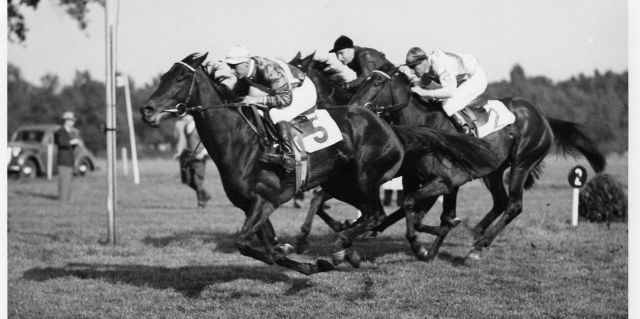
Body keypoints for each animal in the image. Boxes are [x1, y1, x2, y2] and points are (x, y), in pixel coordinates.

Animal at [140, 52, 500, 276]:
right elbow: (268, 247)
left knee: (380, 212)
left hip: (365, 177)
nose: (147, 110)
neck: (241, 142)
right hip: (344, 183)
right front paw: (306, 259)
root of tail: (389, 127)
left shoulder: (264, 200)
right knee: (375, 213)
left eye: (179, 79)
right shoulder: (253, 205)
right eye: (164, 76)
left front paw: (310, 253)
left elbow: (247, 243)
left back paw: (351, 246)